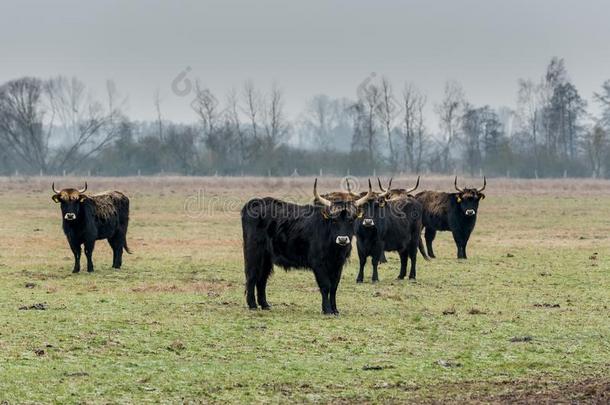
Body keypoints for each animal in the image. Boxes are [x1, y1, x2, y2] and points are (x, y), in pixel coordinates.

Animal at [240, 178, 368, 314]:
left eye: (351, 220)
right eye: (334, 220)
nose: (342, 239)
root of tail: (255, 202)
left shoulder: (338, 264)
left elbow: (334, 286)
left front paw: (335, 310)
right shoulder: (319, 264)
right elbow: (325, 286)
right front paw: (327, 309)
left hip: (266, 258)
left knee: (262, 278)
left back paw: (265, 304)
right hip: (254, 253)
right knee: (252, 275)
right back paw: (252, 304)